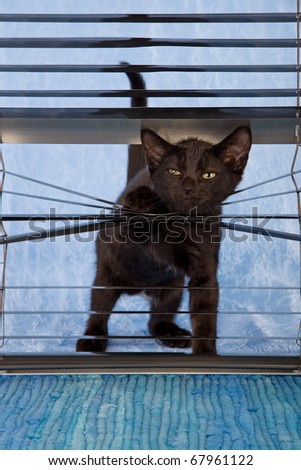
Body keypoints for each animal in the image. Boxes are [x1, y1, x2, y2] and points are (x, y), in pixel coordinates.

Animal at [76, 67, 250, 352]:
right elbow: (148, 230)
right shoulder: (130, 234)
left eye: (208, 175)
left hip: (172, 288)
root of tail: (139, 289)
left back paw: (172, 334)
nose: (188, 186)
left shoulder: (204, 267)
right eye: (174, 171)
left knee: (155, 320)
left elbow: (205, 311)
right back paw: (92, 339)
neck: (183, 221)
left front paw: (205, 354)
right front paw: (145, 202)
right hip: (108, 271)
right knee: (99, 307)